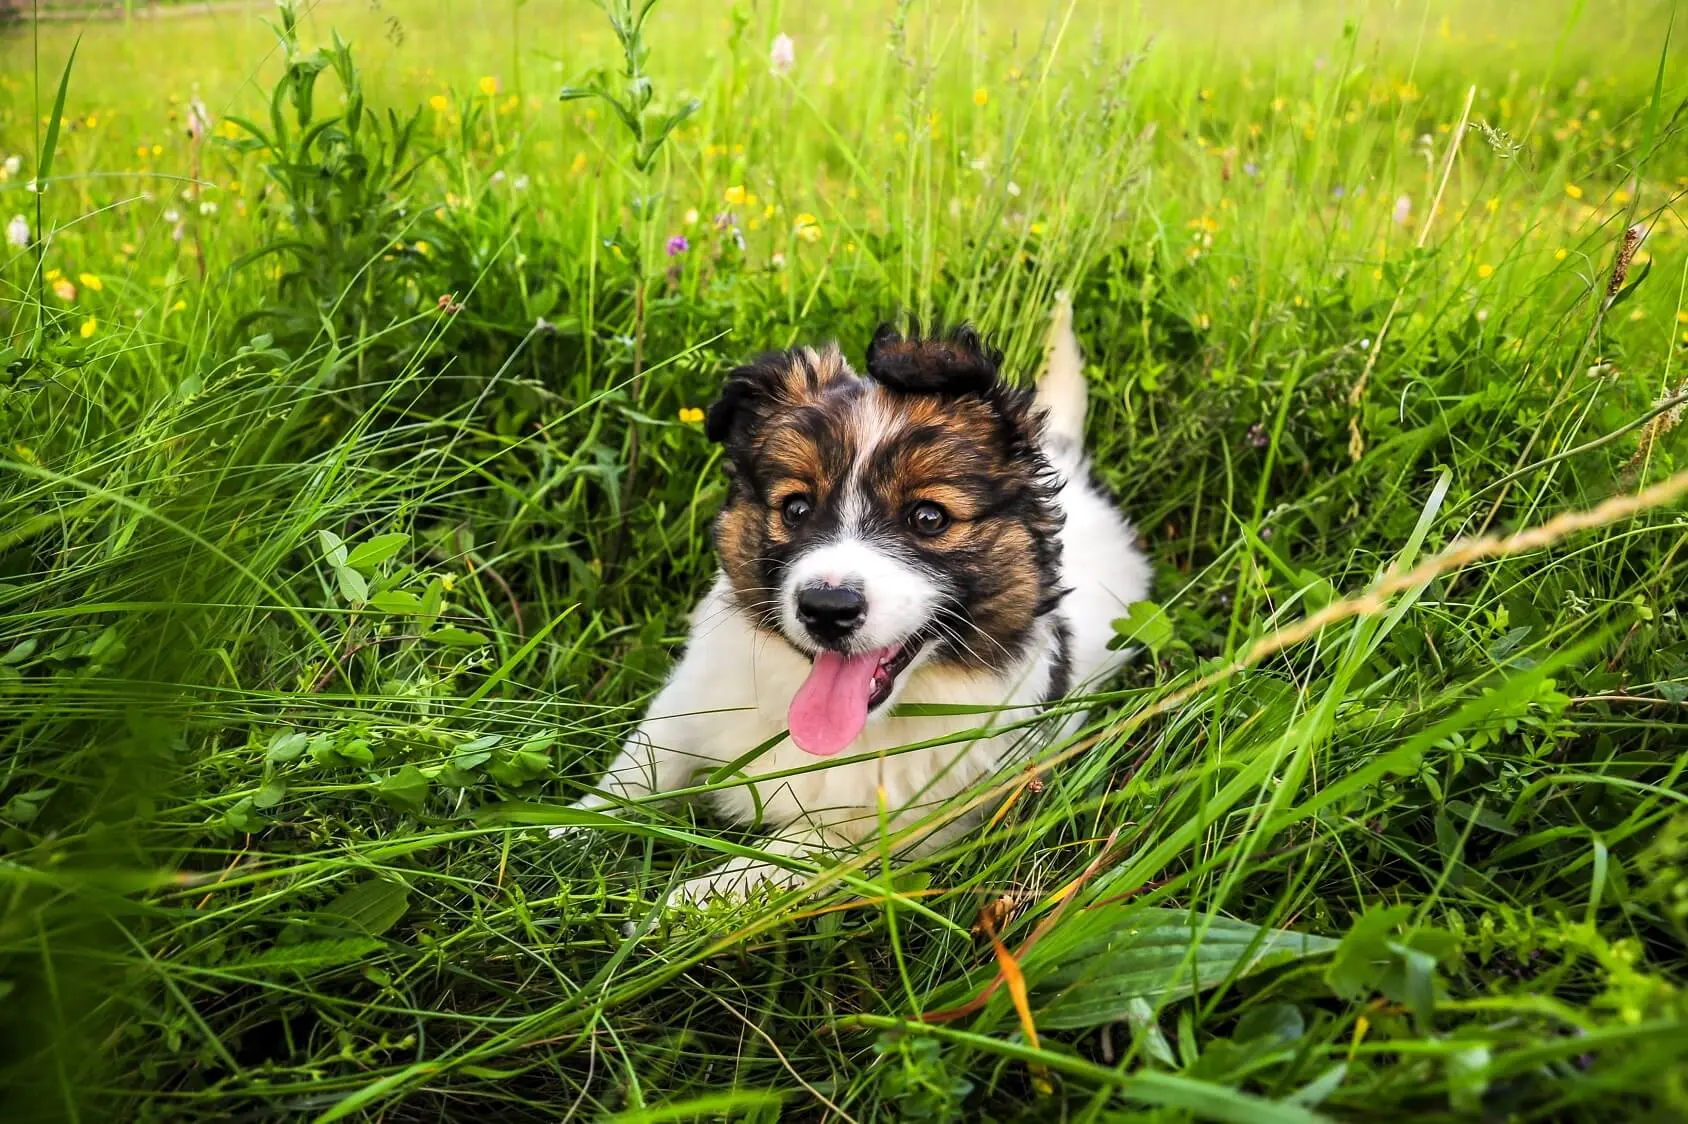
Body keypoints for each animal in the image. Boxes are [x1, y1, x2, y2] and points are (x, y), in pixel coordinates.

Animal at [560, 293, 1154, 897]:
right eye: (796, 508)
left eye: (928, 517)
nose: (827, 610)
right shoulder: (683, 710)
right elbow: (629, 779)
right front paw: (558, 835)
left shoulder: (869, 835)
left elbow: (752, 875)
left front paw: (666, 906)